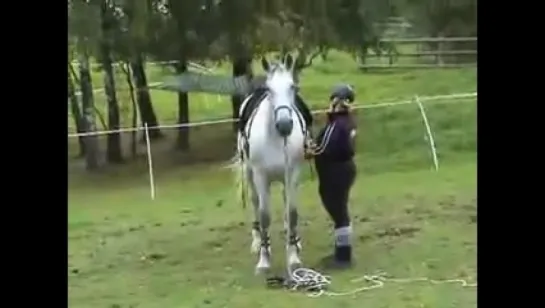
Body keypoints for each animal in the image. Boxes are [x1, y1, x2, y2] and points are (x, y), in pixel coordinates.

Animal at [234, 54, 308, 274]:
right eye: (270, 90)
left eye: (292, 86)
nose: (284, 125)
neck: (275, 138)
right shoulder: (261, 176)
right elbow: (264, 216)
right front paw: (264, 260)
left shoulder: (292, 174)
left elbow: (292, 213)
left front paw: (293, 256)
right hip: (249, 175)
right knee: (254, 204)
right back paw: (257, 241)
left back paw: (294, 240)